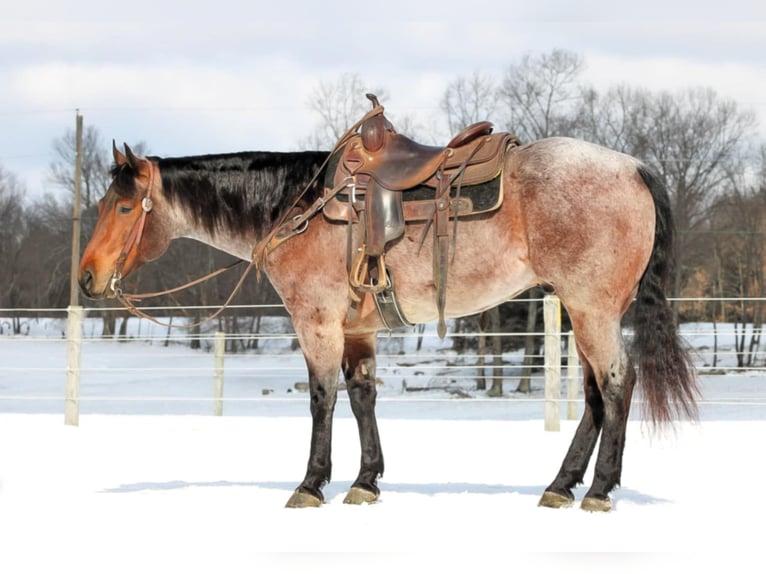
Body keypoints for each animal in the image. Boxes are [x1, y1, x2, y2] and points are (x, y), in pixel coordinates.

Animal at [79, 110, 704, 510]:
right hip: (582, 308)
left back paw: (597, 490)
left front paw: (311, 484)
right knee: (597, 392)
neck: (296, 208)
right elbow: (362, 397)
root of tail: (632, 167)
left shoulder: (317, 323)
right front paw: (366, 481)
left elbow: (322, 399)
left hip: (591, 307)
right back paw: (561, 484)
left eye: (126, 206)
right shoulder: (358, 330)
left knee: (617, 383)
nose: (87, 277)